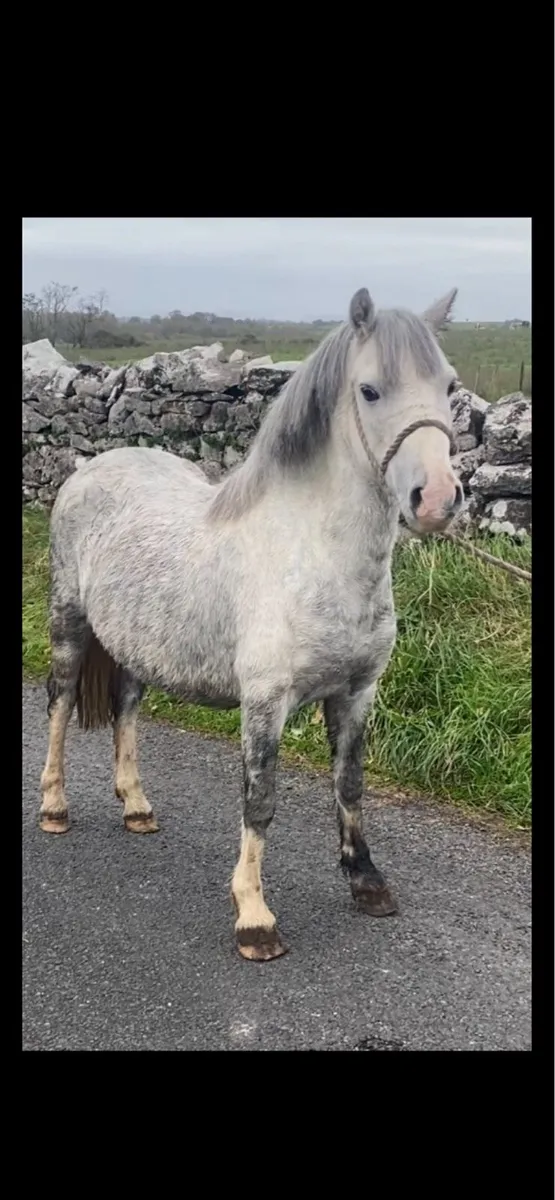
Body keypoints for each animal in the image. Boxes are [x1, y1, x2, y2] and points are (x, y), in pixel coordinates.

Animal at [39, 285, 463, 962]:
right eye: (370, 390)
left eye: (449, 386)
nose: (439, 499)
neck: (315, 556)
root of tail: (93, 468)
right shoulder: (265, 702)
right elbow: (259, 801)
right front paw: (255, 918)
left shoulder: (357, 693)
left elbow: (350, 784)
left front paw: (366, 882)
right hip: (69, 621)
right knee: (58, 702)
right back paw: (54, 806)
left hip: (138, 643)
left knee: (127, 707)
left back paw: (136, 806)